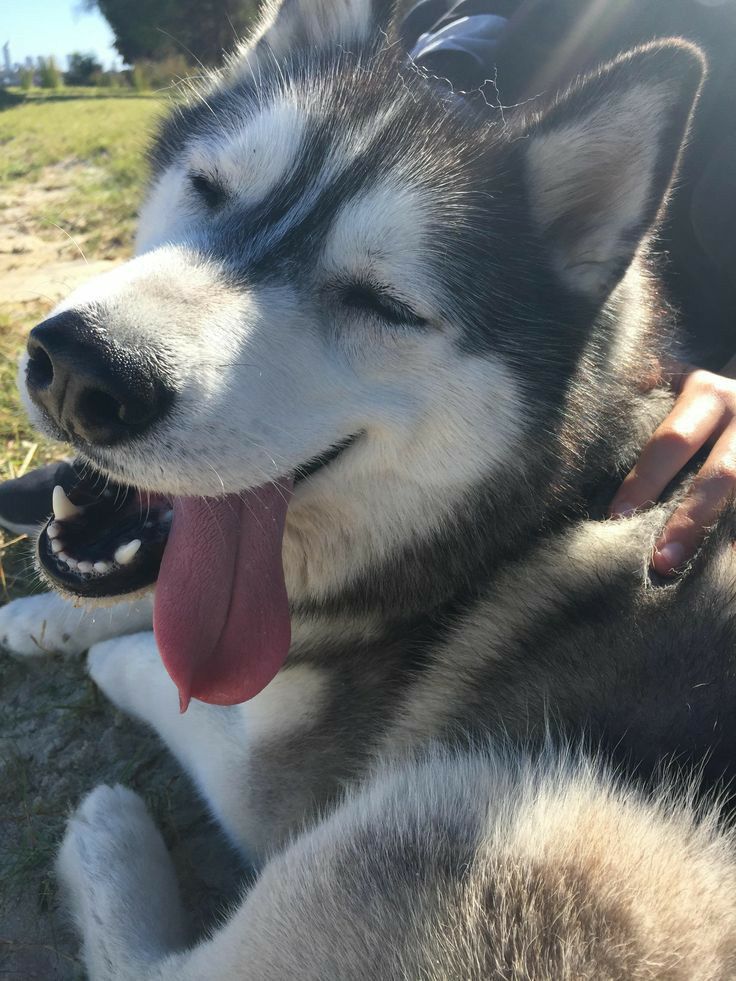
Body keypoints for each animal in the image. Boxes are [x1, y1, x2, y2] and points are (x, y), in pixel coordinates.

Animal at [1, 0, 736, 968]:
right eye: (208, 187)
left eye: (382, 304)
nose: (82, 374)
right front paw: (41, 616)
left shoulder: (268, 781)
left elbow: (172, 676)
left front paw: (101, 653)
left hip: (483, 831)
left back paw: (107, 838)